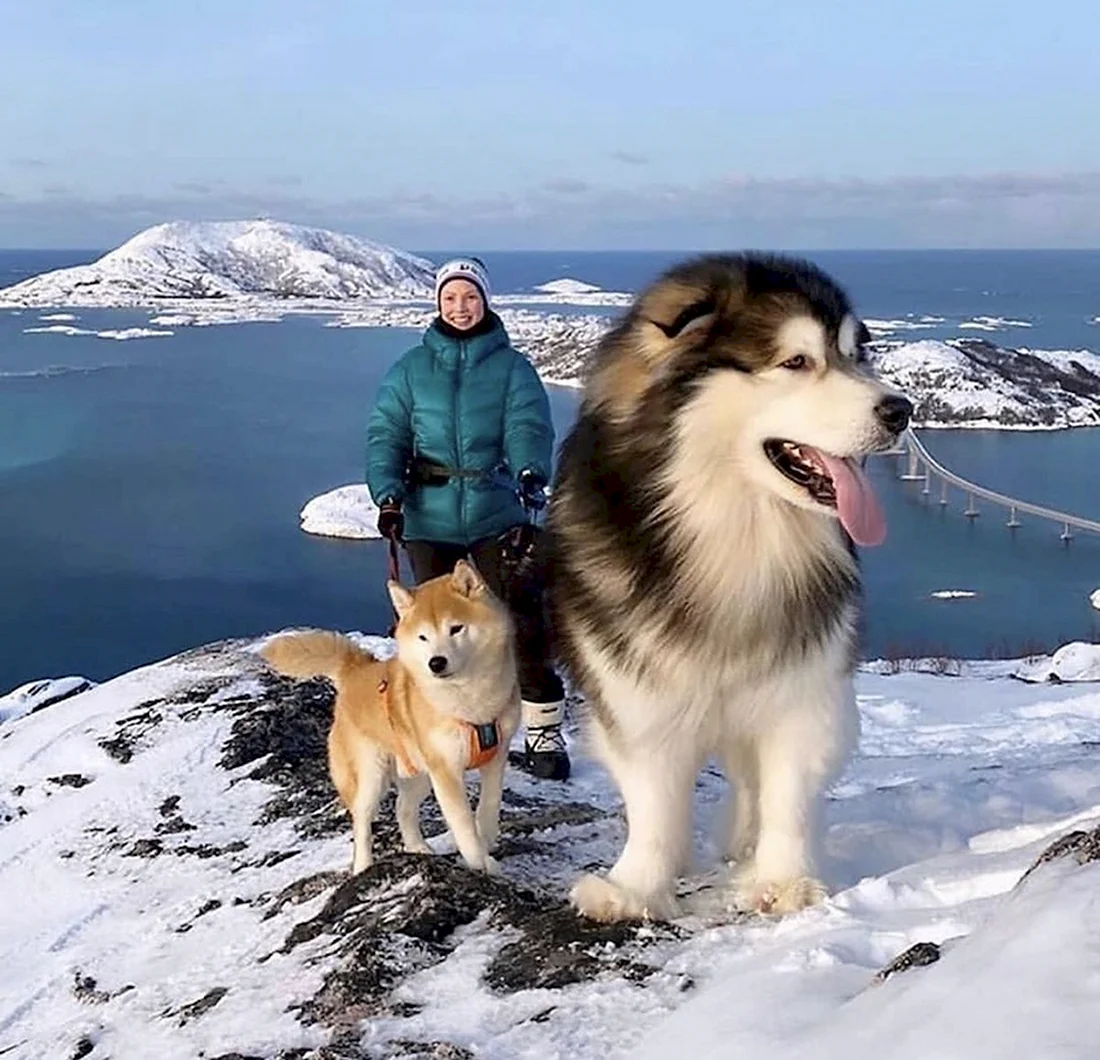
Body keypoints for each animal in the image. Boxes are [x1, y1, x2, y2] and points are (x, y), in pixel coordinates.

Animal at [259, 562, 517, 879]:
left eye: (456, 628)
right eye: (423, 637)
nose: (436, 663)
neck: (470, 704)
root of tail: (356, 670)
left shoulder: (496, 756)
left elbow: (488, 809)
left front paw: (488, 846)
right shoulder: (446, 771)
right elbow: (464, 824)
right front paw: (478, 862)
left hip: (418, 774)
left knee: (402, 808)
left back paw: (417, 848)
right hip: (372, 776)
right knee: (361, 822)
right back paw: (363, 866)